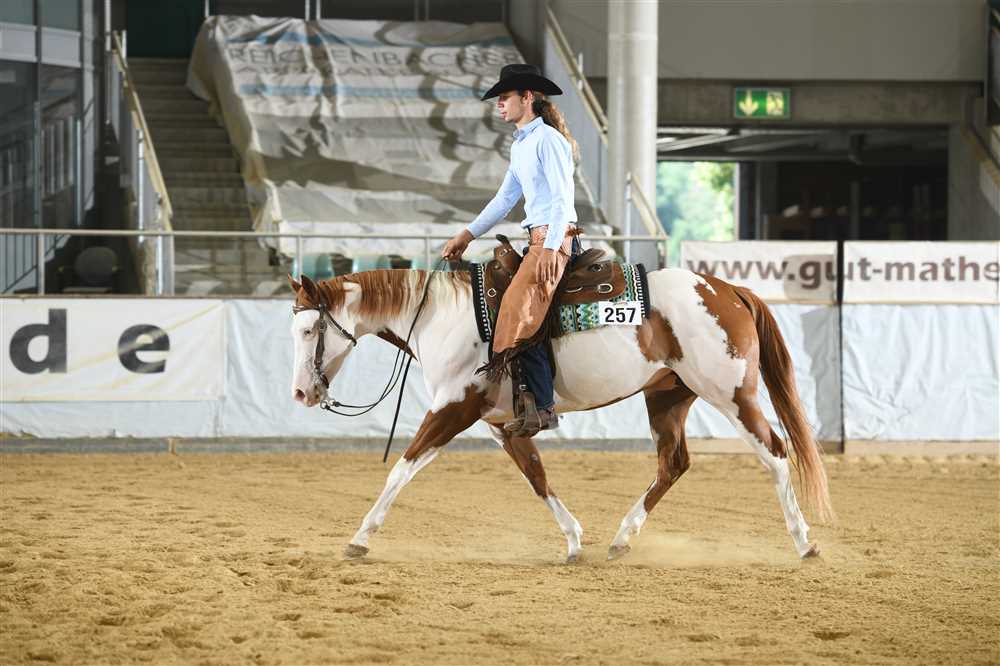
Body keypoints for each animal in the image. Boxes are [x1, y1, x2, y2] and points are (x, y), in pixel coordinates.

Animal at [288, 266, 833, 564]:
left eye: (310, 330)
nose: (299, 393)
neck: (441, 317)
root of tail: (728, 290)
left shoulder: (453, 408)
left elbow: (401, 470)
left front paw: (360, 538)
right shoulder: (500, 423)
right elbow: (536, 476)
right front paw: (573, 540)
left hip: (730, 393)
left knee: (775, 452)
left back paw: (805, 542)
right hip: (669, 397)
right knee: (673, 464)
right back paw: (621, 540)